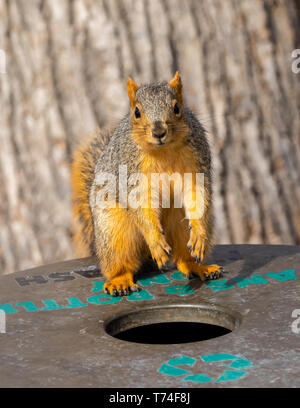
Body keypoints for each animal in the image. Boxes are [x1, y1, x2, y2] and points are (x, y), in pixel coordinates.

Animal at [71, 73, 223, 294]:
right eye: (136, 112)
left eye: (177, 108)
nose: (159, 132)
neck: (163, 150)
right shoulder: (132, 174)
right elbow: (142, 207)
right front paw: (156, 241)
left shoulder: (196, 163)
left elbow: (197, 195)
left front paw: (199, 235)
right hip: (113, 231)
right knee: (120, 262)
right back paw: (120, 280)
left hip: (178, 224)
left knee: (182, 258)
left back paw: (198, 266)